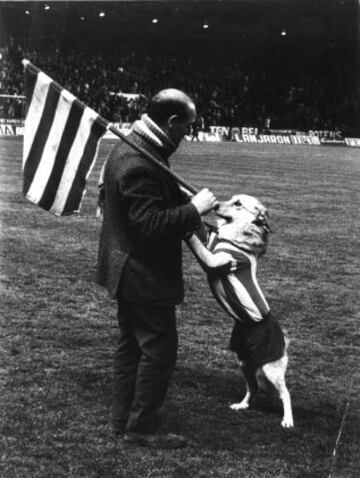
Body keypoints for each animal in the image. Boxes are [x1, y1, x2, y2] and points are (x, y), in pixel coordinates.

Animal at [187, 194, 294, 430]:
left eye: (238, 203)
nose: (215, 204)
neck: (234, 239)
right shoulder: (212, 243)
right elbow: (203, 233)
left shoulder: (216, 259)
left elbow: (197, 243)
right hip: (245, 362)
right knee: (253, 387)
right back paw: (242, 405)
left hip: (271, 369)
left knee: (286, 394)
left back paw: (288, 420)